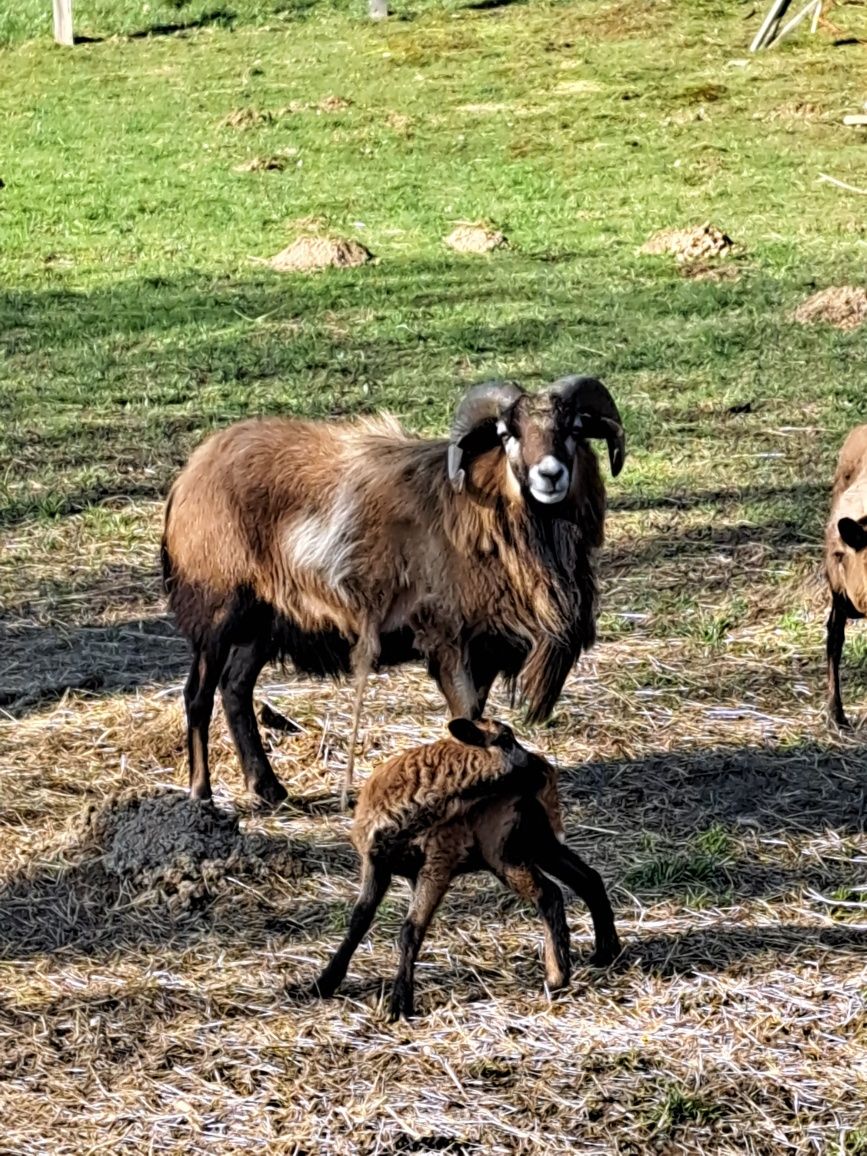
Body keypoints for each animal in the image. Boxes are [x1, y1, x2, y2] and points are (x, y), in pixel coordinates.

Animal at [161, 376, 624, 804]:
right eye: (507, 433)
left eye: (574, 429)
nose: (550, 475)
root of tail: (189, 475)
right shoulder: (447, 638)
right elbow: (465, 716)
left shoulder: (487, 647)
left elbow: (477, 717)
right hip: (216, 610)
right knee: (198, 695)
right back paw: (202, 793)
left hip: (264, 621)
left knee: (235, 690)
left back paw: (268, 788)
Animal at [309, 716, 619, 1017]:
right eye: (506, 739)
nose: (541, 766)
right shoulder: (376, 863)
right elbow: (358, 920)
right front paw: (323, 983)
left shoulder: (438, 863)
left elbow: (411, 930)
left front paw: (399, 1003)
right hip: (535, 842)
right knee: (588, 878)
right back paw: (606, 952)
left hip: (504, 852)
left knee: (549, 893)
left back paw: (557, 977)